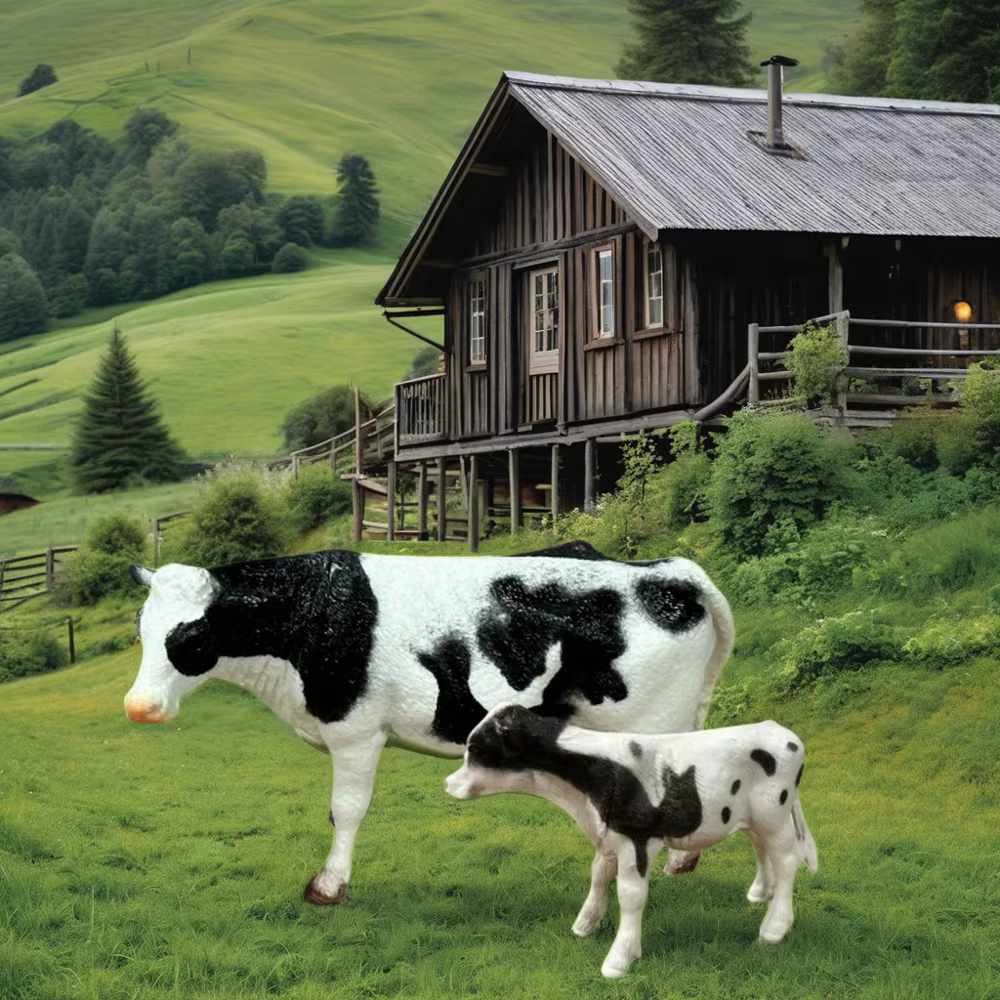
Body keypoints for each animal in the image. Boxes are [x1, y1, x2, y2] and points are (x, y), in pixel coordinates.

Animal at [124, 541, 734, 907]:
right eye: (141, 627)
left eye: (191, 636)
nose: (138, 707)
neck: (317, 612)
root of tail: (667, 570)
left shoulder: (356, 731)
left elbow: (346, 810)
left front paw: (328, 886)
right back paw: (681, 860)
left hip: (647, 723)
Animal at [445, 703, 818, 978]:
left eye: (476, 748)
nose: (447, 784)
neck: (581, 793)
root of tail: (779, 729)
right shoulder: (609, 836)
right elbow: (598, 876)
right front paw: (585, 925)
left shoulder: (636, 840)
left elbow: (630, 895)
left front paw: (619, 958)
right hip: (755, 817)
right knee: (762, 848)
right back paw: (760, 892)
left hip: (774, 813)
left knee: (787, 859)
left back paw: (774, 928)